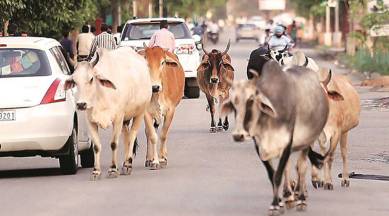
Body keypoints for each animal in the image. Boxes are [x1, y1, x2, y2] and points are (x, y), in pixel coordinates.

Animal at [64, 47, 157, 181]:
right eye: (75, 81)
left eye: (91, 79)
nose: (81, 104)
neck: (101, 95)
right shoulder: (90, 121)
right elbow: (96, 146)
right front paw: (96, 171)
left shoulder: (118, 119)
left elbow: (113, 144)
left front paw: (113, 169)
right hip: (125, 120)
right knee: (127, 138)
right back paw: (124, 163)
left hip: (140, 112)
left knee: (133, 136)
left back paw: (128, 164)